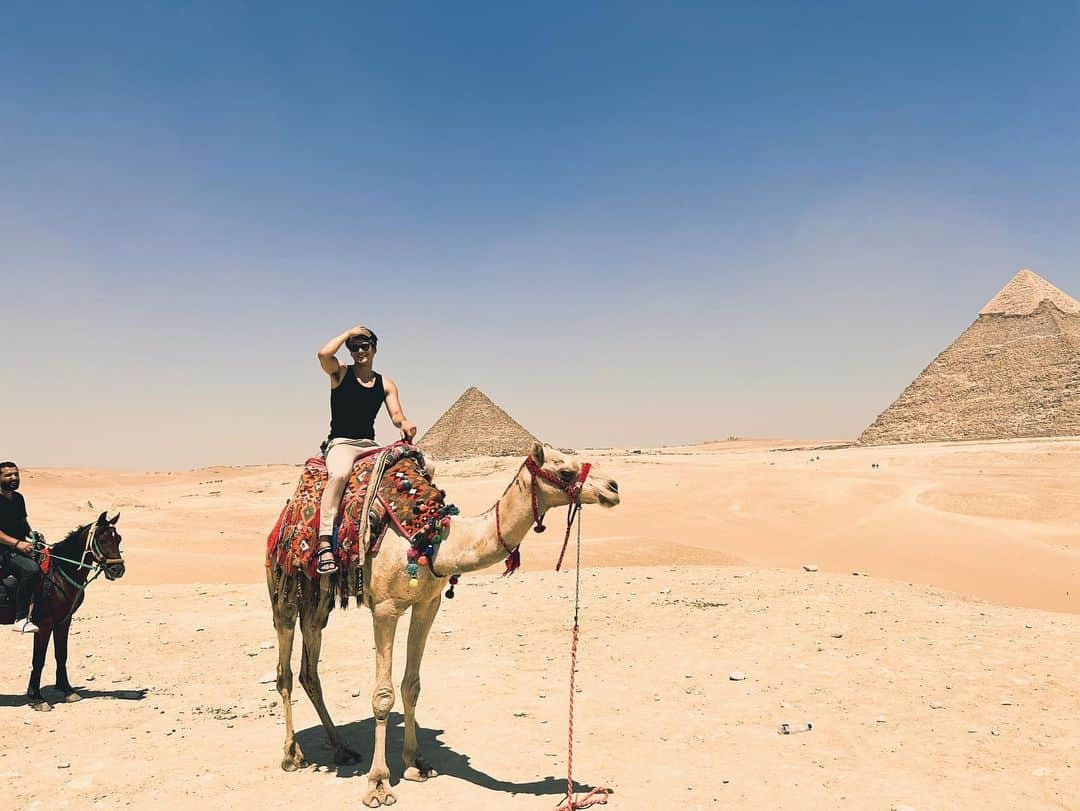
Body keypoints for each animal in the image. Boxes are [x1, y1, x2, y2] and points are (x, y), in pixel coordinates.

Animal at [24, 514, 124, 708]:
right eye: (102, 540)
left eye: (119, 539)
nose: (118, 569)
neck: (59, 574)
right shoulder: (44, 623)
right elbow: (38, 659)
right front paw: (36, 697)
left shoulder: (63, 620)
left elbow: (61, 655)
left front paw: (67, 691)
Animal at [266, 444, 622, 811]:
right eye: (565, 471)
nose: (612, 487)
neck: (432, 539)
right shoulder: (385, 608)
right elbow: (382, 695)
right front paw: (378, 783)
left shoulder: (428, 604)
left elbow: (411, 686)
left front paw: (416, 763)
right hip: (283, 590)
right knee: (284, 671)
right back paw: (292, 755)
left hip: (317, 599)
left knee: (310, 668)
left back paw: (341, 749)